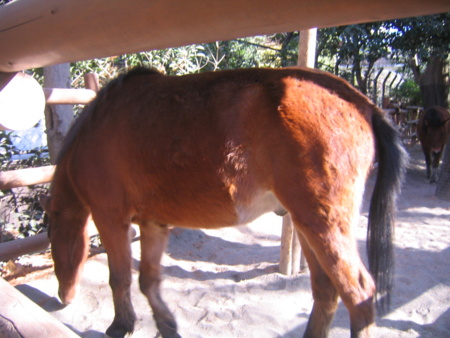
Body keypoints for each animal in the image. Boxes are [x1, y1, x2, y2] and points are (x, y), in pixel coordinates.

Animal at [40, 66, 406, 338]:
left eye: (53, 240)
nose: (63, 296)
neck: (94, 130)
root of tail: (361, 103)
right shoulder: (152, 222)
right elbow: (148, 281)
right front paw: (166, 325)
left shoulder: (110, 218)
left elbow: (120, 278)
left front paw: (121, 325)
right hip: (307, 225)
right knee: (327, 290)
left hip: (322, 226)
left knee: (359, 294)